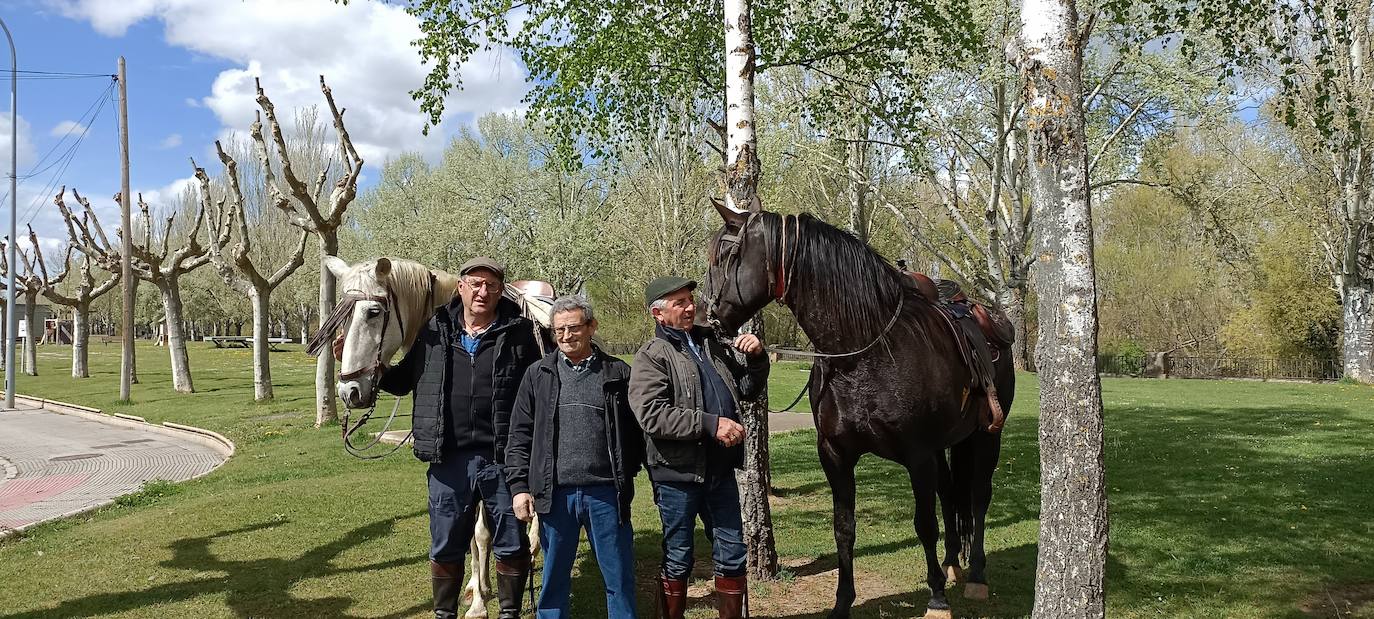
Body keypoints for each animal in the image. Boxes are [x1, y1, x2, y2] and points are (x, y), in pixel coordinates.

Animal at [708, 205, 1011, 617]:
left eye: (727, 256)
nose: (706, 317)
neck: (865, 352)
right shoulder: (836, 455)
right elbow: (844, 528)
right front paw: (842, 602)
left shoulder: (917, 456)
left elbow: (924, 524)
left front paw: (936, 598)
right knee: (950, 493)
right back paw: (951, 563)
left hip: (985, 437)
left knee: (979, 496)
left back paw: (976, 575)